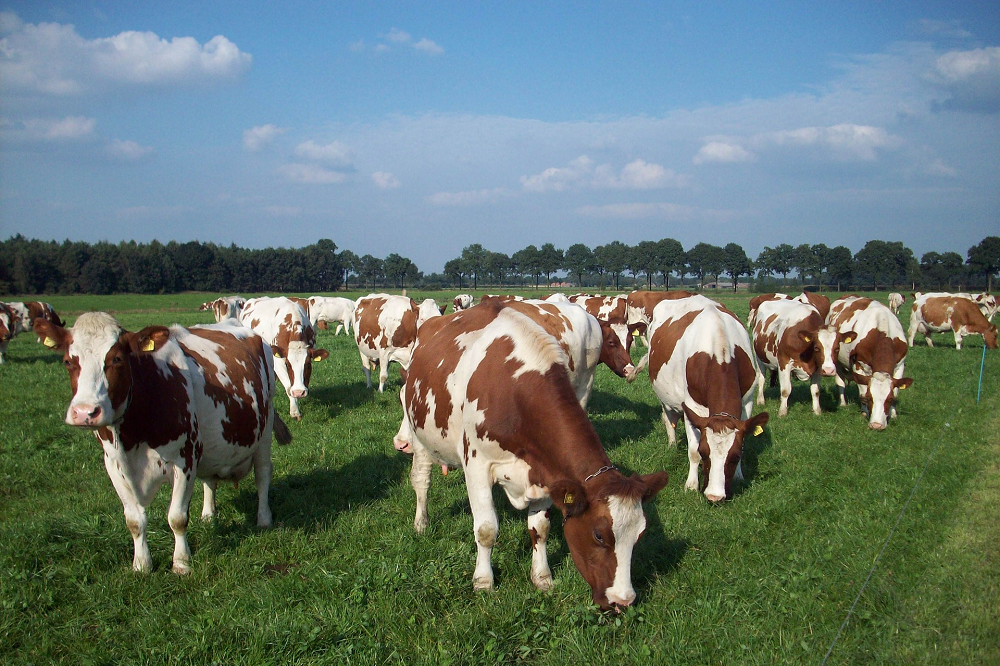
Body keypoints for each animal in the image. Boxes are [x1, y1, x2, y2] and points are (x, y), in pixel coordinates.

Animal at [32, 312, 290, 572]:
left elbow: (177, 517)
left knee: (262, 475)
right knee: (210, 480)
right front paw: (141, 564)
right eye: (68, 361)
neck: (132, 437)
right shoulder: (114, 465)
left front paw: (181, 563)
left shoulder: (184, 460)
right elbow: (134, 520)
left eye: (117, 359)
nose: (85, 412)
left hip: (264, 428)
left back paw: (264, 518)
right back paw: (208, 516)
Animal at [394, 300, 668, 608]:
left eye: (639, 534)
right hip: (419, 432)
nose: (623, 600)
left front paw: (542, 577)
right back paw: (421, 523)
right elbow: (486, 530)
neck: (516, 391)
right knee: (421, 479)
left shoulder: (548, 472)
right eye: (599, 535)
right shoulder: (476, 464)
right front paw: (484, 582)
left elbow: (541, 528)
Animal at [644, 294, 768, 500]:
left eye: (734, 457)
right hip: (662, 394)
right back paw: (672, 444)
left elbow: (743, 441)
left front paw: (739, 477)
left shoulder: (747, 402)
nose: (714, 496)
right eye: (704, 452)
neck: (721, 351)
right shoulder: (692, 407)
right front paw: (691, 485)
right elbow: (692, 450)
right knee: (669, 418)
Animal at [820, 294, 916, 428]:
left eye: (889, 399)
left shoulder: (900, 365)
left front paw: (893, 414)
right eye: (870, 398)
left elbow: (897, 391)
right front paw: (864, 412)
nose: (876, 425)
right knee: (840, 382)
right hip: (836, 362)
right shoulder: (859, 365)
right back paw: (843, 403)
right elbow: (862, 393)